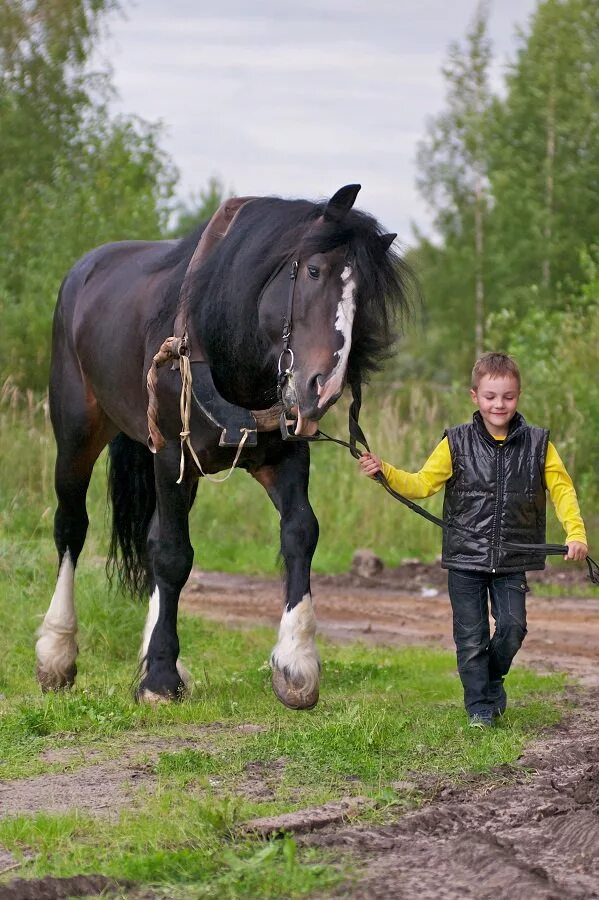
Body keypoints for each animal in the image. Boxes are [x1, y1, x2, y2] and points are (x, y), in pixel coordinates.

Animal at [37, 185, 410, 712]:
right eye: (314, 271)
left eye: (364, 295)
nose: (324, 388)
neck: (226, 343)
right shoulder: (171, 453)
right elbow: (173, 554)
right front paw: (159, 679)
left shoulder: (281, 456)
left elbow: (300, 532)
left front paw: (296, 663)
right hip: (77, 433)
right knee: (72, 526)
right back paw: (57, 653)